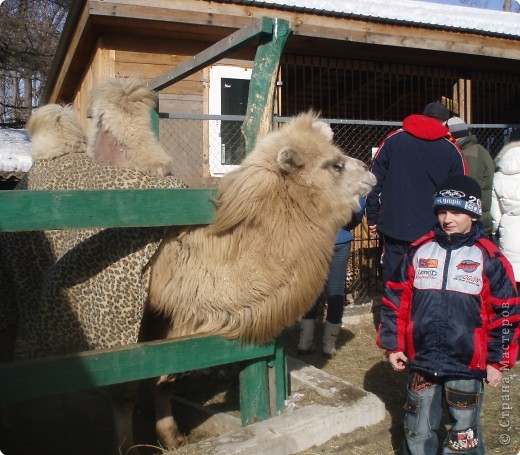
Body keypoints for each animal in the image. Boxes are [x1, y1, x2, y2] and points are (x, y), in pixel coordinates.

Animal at [0, 78, 376, 452]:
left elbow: (165, 377)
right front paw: (126, 445)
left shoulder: (172, 316)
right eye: (334, 164)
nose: (370, 173)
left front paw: (172, 436)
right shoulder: (120, 326)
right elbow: (123, 385)